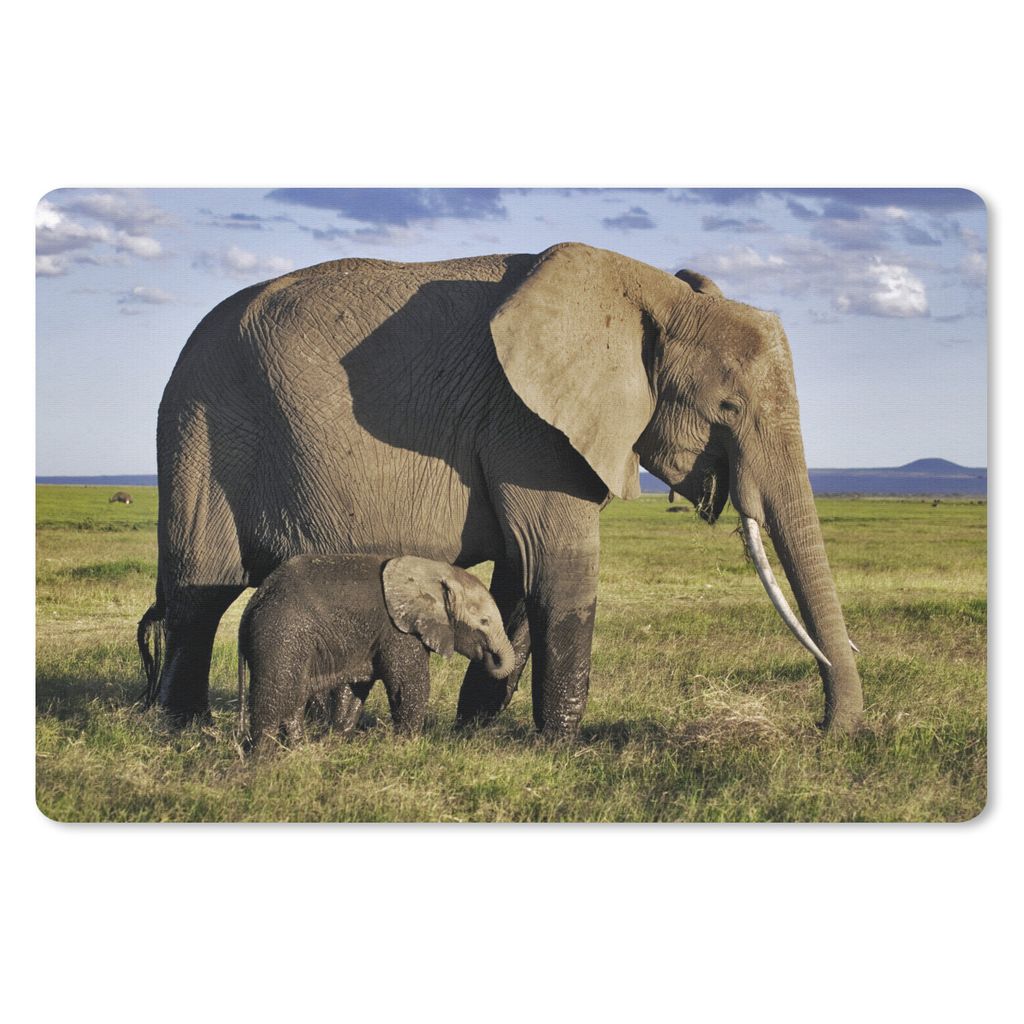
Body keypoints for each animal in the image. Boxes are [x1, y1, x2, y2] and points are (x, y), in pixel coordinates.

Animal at [237, 554, 515, 756]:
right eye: (484, 621)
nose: (489, 657)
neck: (436, 572)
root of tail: (253, 602)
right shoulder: (398, 630)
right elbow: (409, 684)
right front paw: (408, 746)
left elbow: (356, 688)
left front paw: (337, 740)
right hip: (280, 635)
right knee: (276, 696)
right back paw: (263, 760)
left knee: (294, 697)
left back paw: (298, 750)